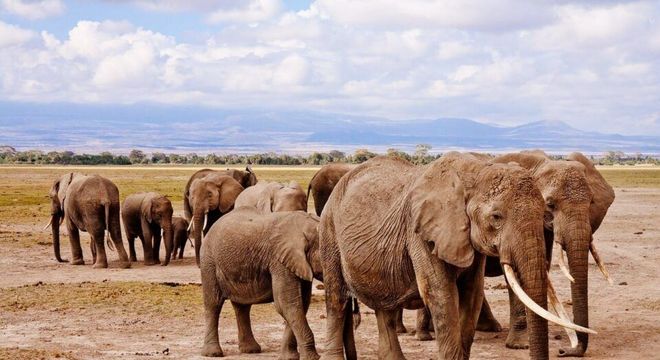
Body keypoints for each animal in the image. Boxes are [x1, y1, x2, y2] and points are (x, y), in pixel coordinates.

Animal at [201, 207, 324, 358]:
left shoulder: (297, 263)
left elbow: (300, 304)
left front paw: (289, 357)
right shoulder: (280, 261)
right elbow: (287, 304)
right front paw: (312, 358)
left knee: (242, 306)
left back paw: (250, 350)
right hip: (209, 261)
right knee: (213, 303)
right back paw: (213, 353)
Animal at [318, 153, 592, 360]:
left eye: (544, 211)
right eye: (496, 217)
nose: (562, 351)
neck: (474, 173)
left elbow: (472, 295)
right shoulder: (420, 232)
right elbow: (442, 294)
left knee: (383, 306)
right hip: (329, 230)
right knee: (336, 297)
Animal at [472, 150, 616, 356]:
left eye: (591, 203)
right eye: (550, 204)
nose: (564, 351)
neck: (542, 163)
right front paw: (521, 345)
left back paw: (489, 328)